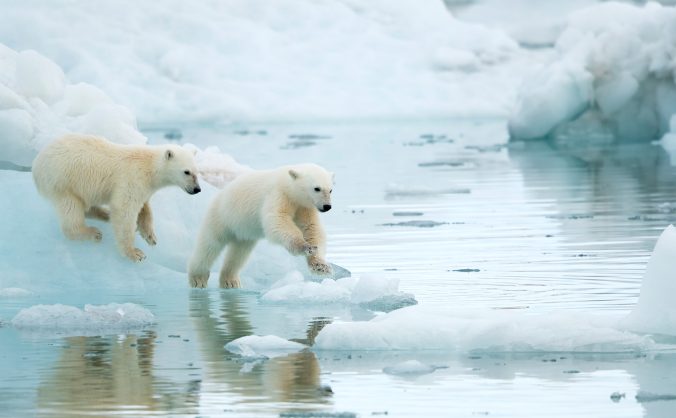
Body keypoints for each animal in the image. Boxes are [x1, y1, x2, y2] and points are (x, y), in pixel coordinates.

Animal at [32, 134, 201, 262]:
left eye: (197, 171)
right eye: (186, 172)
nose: (197, 189)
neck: (149, 167)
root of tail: (36, 164)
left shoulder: (144, 186)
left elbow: (144, 207)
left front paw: (150, 236)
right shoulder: (132, 178)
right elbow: (124, 210)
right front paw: (135, 253)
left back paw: (105, 214)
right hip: (63, 182)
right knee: (71, 210)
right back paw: (93, 233)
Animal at [188, 163, 334, 288]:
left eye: (331, 190)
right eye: (317, 188)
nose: (327, 206)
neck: (288, 186)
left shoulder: (304, 207)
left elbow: (311, 228)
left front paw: (321, 266)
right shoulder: (278, 195)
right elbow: (277, 220)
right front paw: (303, 246)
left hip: (244, 232)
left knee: (239, 253)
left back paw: (230, 281)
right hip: (221, 217)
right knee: (209, 245)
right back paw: (198, 278)